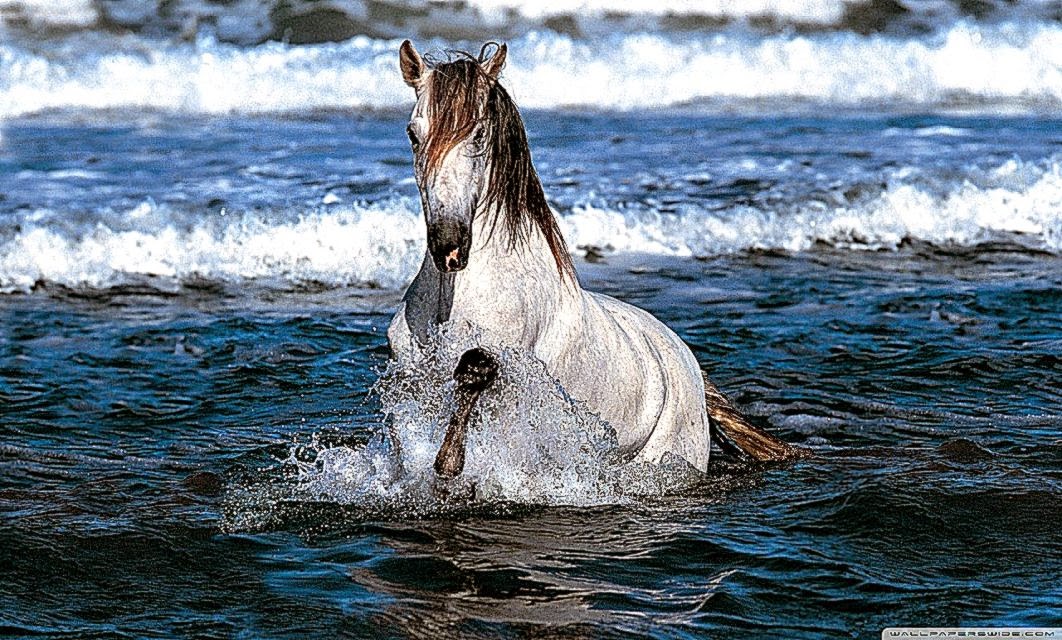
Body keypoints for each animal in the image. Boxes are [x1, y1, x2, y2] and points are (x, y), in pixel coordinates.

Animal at [387, 40, 801, 479]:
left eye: (479, 132)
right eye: (413, 134)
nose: (449, 247)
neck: (453, 297)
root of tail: (691, 369)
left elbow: (475, 370)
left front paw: (449, 463)